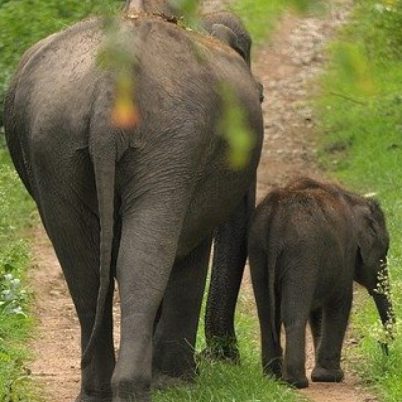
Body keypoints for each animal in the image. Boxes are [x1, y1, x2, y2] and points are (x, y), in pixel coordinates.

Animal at [4, 0, 266, 398]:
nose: (223, 356)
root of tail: (111, 85)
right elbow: (190, 252)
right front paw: (179, 383)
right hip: (169, 139)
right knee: (142, 257)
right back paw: (138, 387)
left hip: (52, 140)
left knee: (83, 264)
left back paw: (98, 392)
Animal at [250, 177, 394, 388]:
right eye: (384, 252)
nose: (383, 349)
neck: (354, 199)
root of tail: (275, 218)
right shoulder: (346, 251)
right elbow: (341, 302)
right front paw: (330, 377)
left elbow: (317, 312)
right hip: (302, 254)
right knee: (293, 314)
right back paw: (296, 382)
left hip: (258, 250)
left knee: (266, 315)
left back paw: (272, 376)